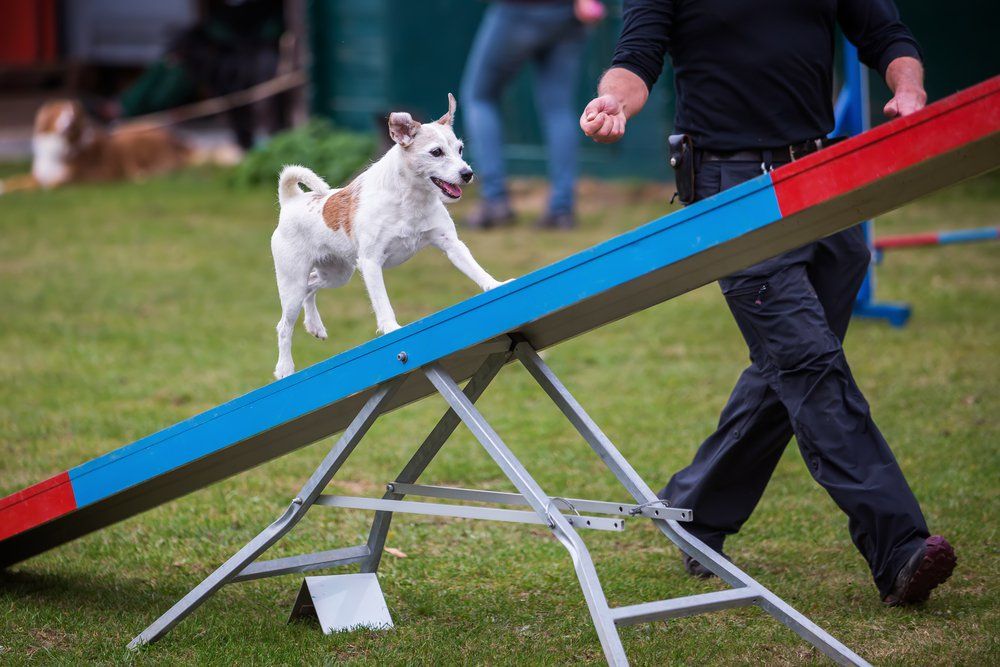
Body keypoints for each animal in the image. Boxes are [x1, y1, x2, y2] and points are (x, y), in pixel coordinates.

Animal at [1, 99, 227, 194]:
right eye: (58, 111)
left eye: (74, 114)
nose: (68, 123)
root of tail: (176, 138)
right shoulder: (39, 175)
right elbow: (15, 181)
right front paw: (4, 186)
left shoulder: (62, 182)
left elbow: (33, 187)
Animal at [268, 93, 508, 378]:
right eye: (436, 152)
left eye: (460, 149)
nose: (467, 174)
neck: (410, 199)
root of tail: (291, 201)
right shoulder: (371, 263)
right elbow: (382, 303)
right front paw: (392, 329)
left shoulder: (451, 245)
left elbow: (476, 269)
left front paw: (496, 285)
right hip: (292, 283)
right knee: (284, 325)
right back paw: (285, 368)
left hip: (337, 274)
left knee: (312, 285)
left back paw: (315, 325)